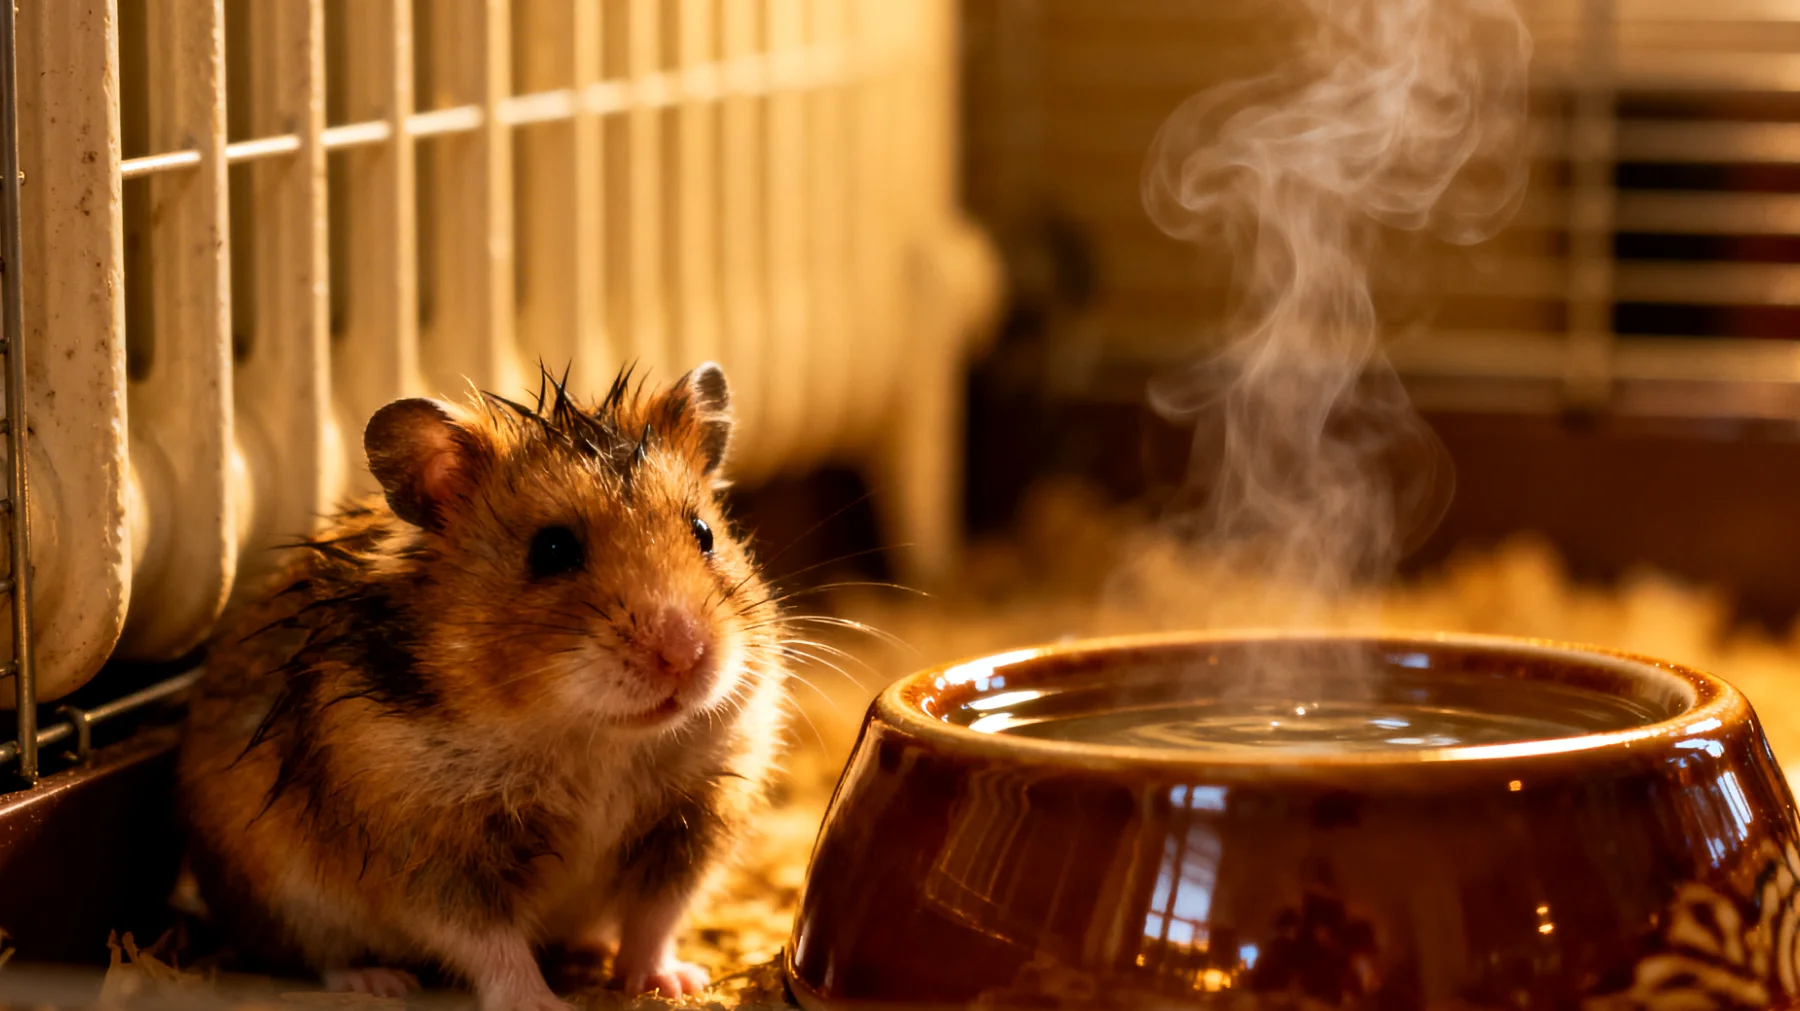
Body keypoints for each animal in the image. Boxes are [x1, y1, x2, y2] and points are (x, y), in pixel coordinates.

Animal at [175, 363, 789, 1010]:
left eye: (704, 533)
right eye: (552, 549)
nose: (684, 655)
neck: (594, 740)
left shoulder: (689, 825)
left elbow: (655, 920)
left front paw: (672, 984)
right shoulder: (434, 851)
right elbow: (489, 942)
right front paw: (541, 1003)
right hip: (284, 897)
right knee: (318, 956)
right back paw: (380, 982)